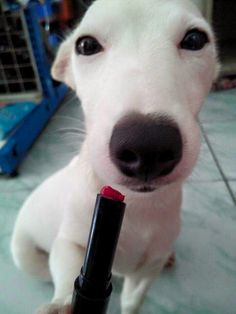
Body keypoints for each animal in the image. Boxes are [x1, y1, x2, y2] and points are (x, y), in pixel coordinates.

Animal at [10, 1, 218, 312]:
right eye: (86, 44)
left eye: (195, 39)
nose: (148, 145)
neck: (138, 206)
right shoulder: (70, 243)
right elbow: (68, 270)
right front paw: (62, 303)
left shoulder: (148, 269)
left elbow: (132, 301)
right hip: (26, 254)